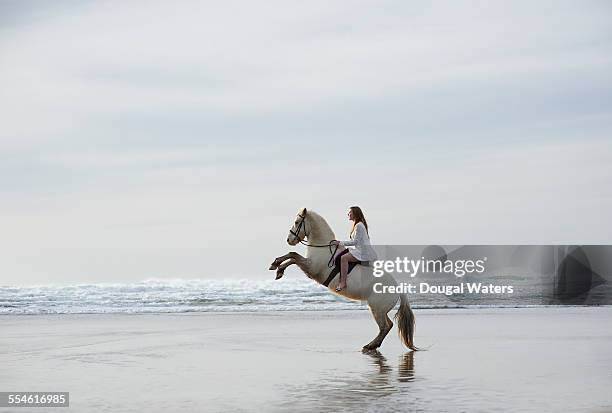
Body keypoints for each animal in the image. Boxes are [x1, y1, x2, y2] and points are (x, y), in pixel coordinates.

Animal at [270, 208, 418, 350]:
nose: (289, 240)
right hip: (379, 310)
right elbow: (293, 256)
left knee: (385, 326)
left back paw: (371, 346)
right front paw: (276, 267)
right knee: (388, 325)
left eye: (296, 222)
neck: (322, 247)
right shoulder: (308, 266)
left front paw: (278, 267)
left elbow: (293, 255)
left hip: (377, 309)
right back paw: (373, 344)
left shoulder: (311, 268)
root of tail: (397, 287)